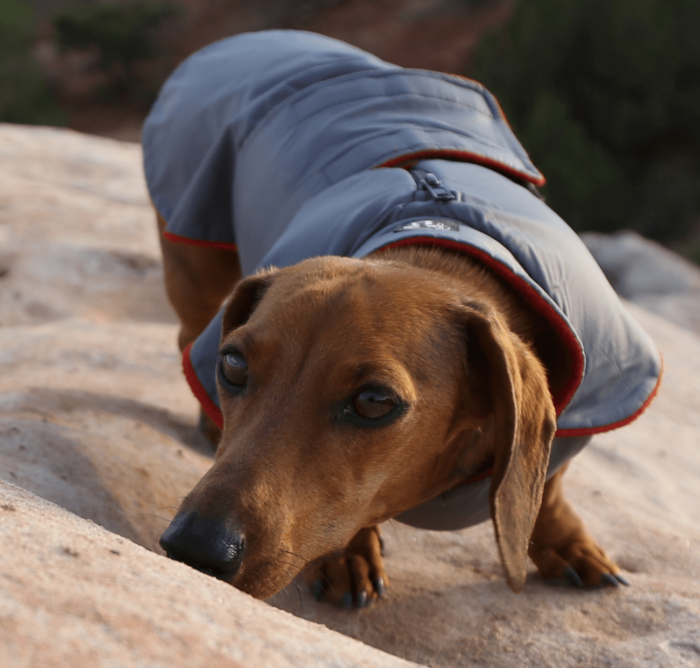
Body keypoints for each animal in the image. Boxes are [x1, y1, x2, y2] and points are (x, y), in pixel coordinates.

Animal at [157, 213, 628, 604]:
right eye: (233, 365)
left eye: (374, 402)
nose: (194, 547)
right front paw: (348, 554)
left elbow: (549, 487)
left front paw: (568, 544)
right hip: (195, 260)